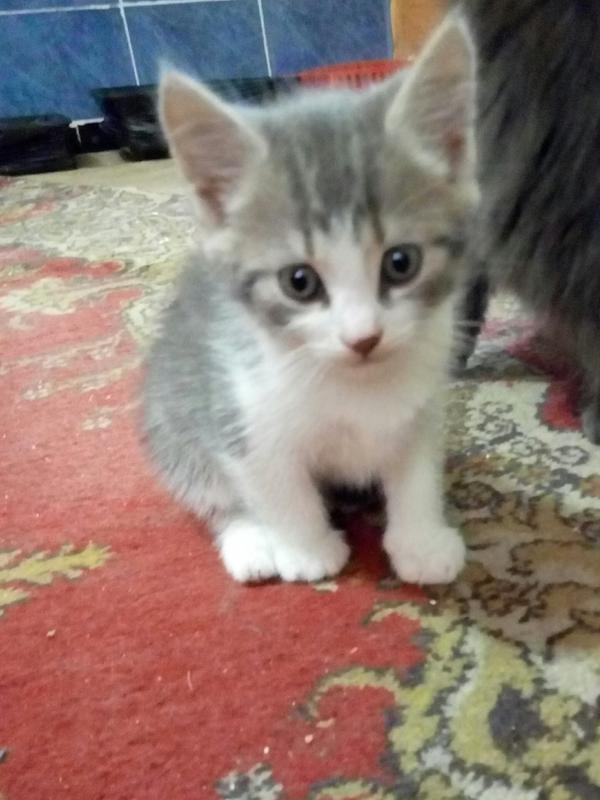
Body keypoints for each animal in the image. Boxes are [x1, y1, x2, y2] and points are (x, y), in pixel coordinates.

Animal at [142, 15, 478, 584]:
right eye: (299, 282)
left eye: (401, 263)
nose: (364, 338)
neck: (357, 386)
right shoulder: (242, 408)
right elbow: (277, 485)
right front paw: (306, 549)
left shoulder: (424, 404)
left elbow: (417, 471)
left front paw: (421, 542)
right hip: (171, 417)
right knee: (208, 486)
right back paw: (250, 543)